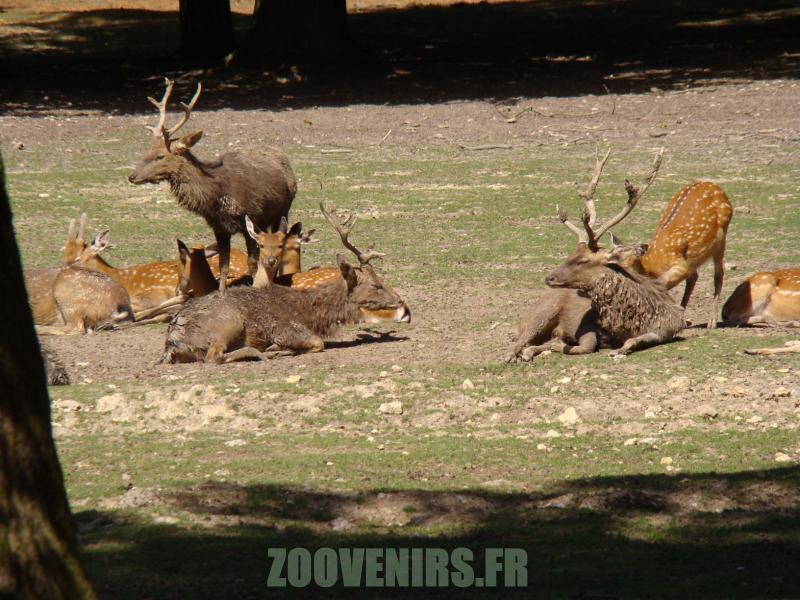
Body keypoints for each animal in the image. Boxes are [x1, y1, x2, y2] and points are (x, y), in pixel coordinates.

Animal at [128, 78, 297, 291]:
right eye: (147, 152)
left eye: (160, 156)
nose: (132, 176)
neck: (216, 196)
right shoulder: (219, 227)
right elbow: (224, 265)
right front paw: (222, 291)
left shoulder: (250, 218)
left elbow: (251, 263)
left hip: (284, 208)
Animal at [160, 203, 411, 364]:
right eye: (377, 285)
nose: (399, 299)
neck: (310, 314)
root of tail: (172, 341)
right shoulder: (286, 329)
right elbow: (318, 343)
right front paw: (279, 348)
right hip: (228, 322)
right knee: (214, 357)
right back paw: (266, 352)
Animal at [543, 148, 686, 356]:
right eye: (570, 255)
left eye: (582, 261)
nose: (549, 278)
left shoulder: (668, 329)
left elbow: (634, 341)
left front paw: (619, 351)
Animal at [605, 181, 733, 328]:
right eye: (607, 257)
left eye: (623, 266)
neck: (651, 266)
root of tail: (714, 185)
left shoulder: (679, 263)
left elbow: (661, 283)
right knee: (694, 277)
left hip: (721, 237)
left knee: (718, 274)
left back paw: (712, 322)